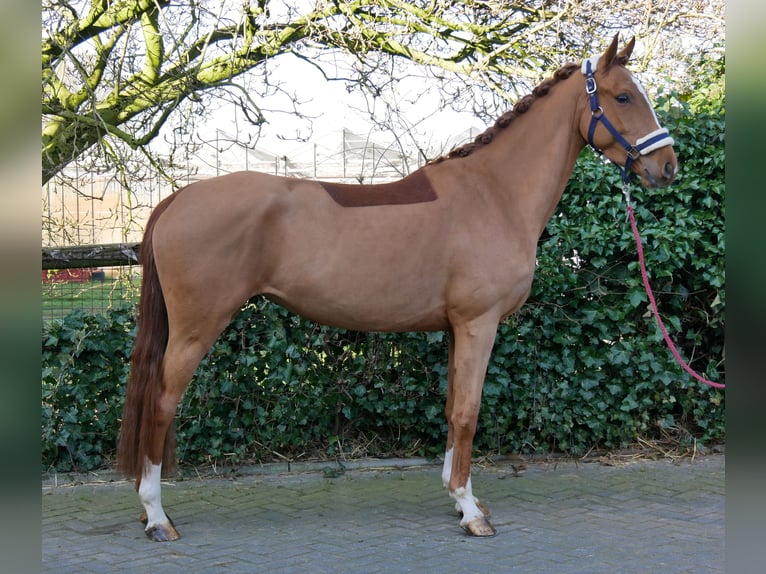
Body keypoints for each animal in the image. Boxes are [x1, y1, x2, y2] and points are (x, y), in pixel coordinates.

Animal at [117, 37, 676, 544]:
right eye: (624, 96)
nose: (667, 167)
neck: (493, 193)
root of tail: (177, 199)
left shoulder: (456, 329)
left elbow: (452, 408)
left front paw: (459, 498)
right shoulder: (479, 324)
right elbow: (468, 413)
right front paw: (471, 512)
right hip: (195, 330)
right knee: (161, 403)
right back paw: (158, 517)